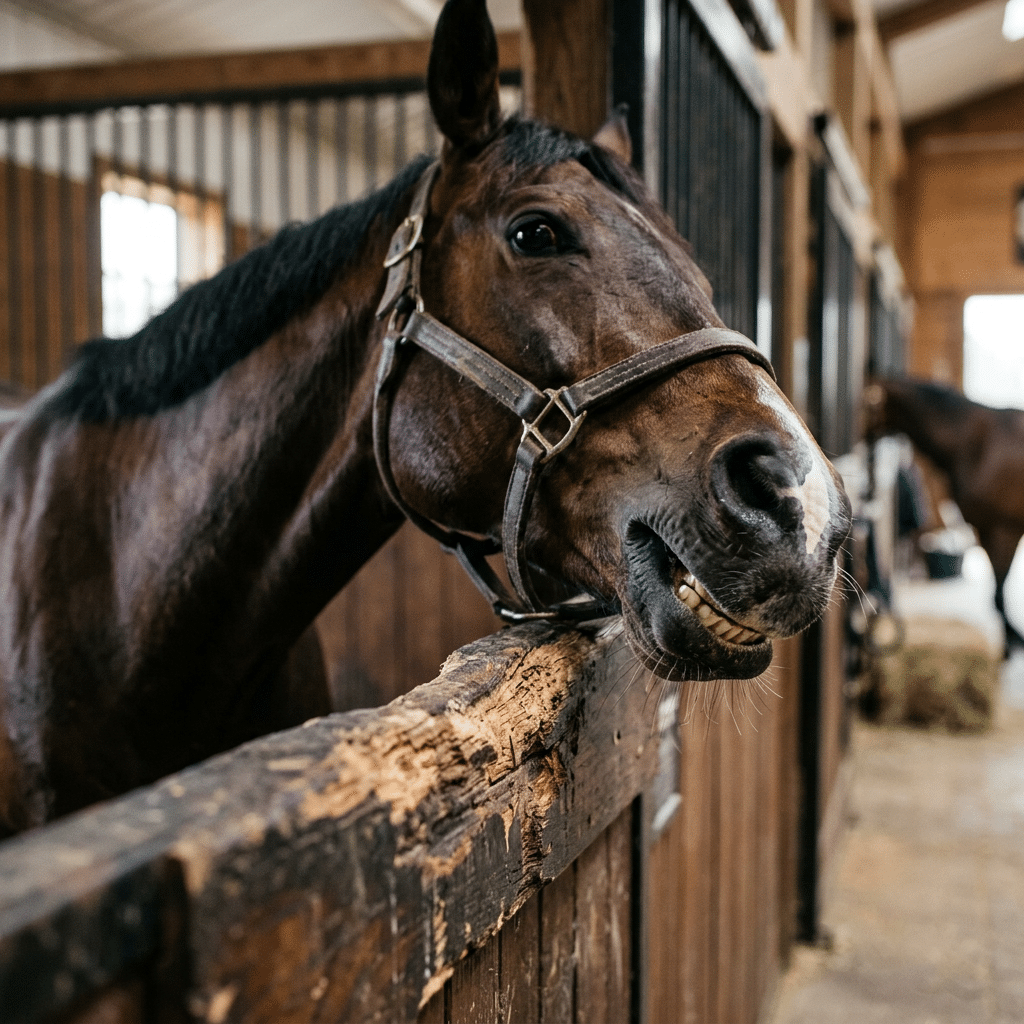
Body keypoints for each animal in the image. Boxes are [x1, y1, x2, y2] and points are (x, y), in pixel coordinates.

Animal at [866, 376, 1024, 648]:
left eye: (866, 403)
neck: (976, 445)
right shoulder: (985, 529)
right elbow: (996, 594)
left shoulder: (1005, 531)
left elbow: (999, 593)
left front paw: (1013, 639)